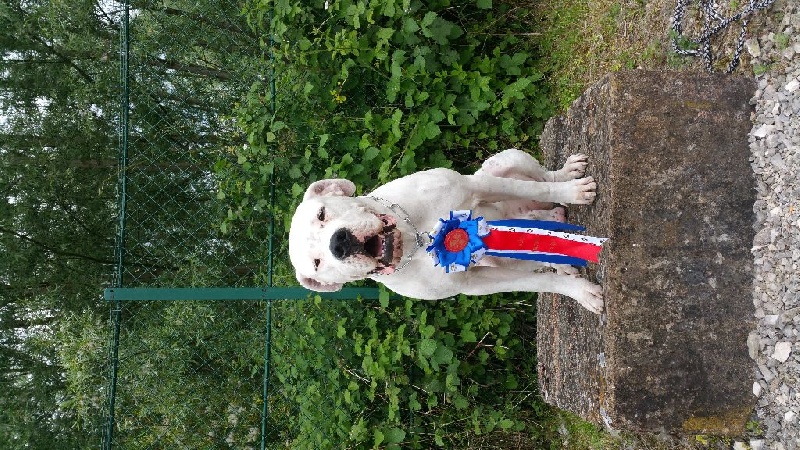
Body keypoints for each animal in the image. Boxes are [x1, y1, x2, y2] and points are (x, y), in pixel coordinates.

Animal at [290, 149, 604, 314]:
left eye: (322, 214)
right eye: (317, 264)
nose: (339, 244)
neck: (415, 239)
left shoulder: (477, 186)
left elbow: (539, 188)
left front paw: (573, 192)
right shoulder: (476, 282)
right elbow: (539, 283)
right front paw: (581, 292)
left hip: (504, 159)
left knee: (542, 178)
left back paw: (567, 175)